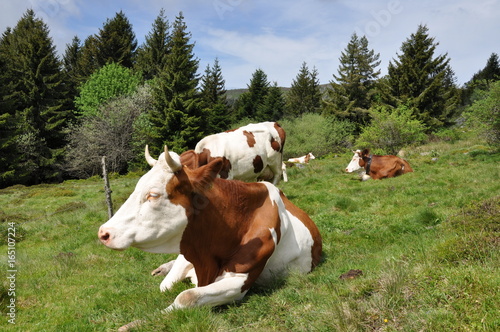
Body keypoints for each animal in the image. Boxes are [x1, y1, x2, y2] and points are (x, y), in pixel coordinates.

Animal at [97, 147, 322, 322]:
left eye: (153, 194)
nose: (103, 233)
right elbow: (165, 287)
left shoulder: (240, 280)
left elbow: (186, 296)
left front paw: (138, 322)